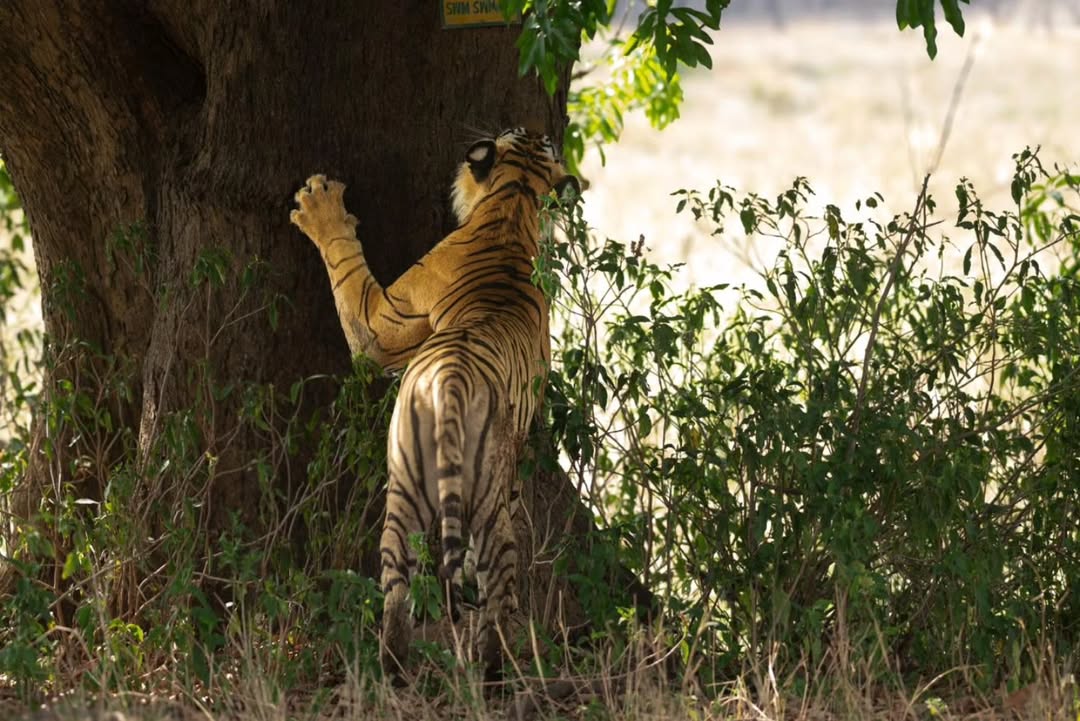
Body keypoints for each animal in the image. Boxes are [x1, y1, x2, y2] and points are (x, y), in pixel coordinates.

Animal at [290, 128, 580, 680]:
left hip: (452, 492)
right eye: (536, 139)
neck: (514, 205)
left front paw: (318, 204)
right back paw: (402, 662)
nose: (539, 130)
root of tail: (450, 382)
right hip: (421, 482)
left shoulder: (380, 326)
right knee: (418, 577)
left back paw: (483, 670)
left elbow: (347, 273)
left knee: (479, 582)